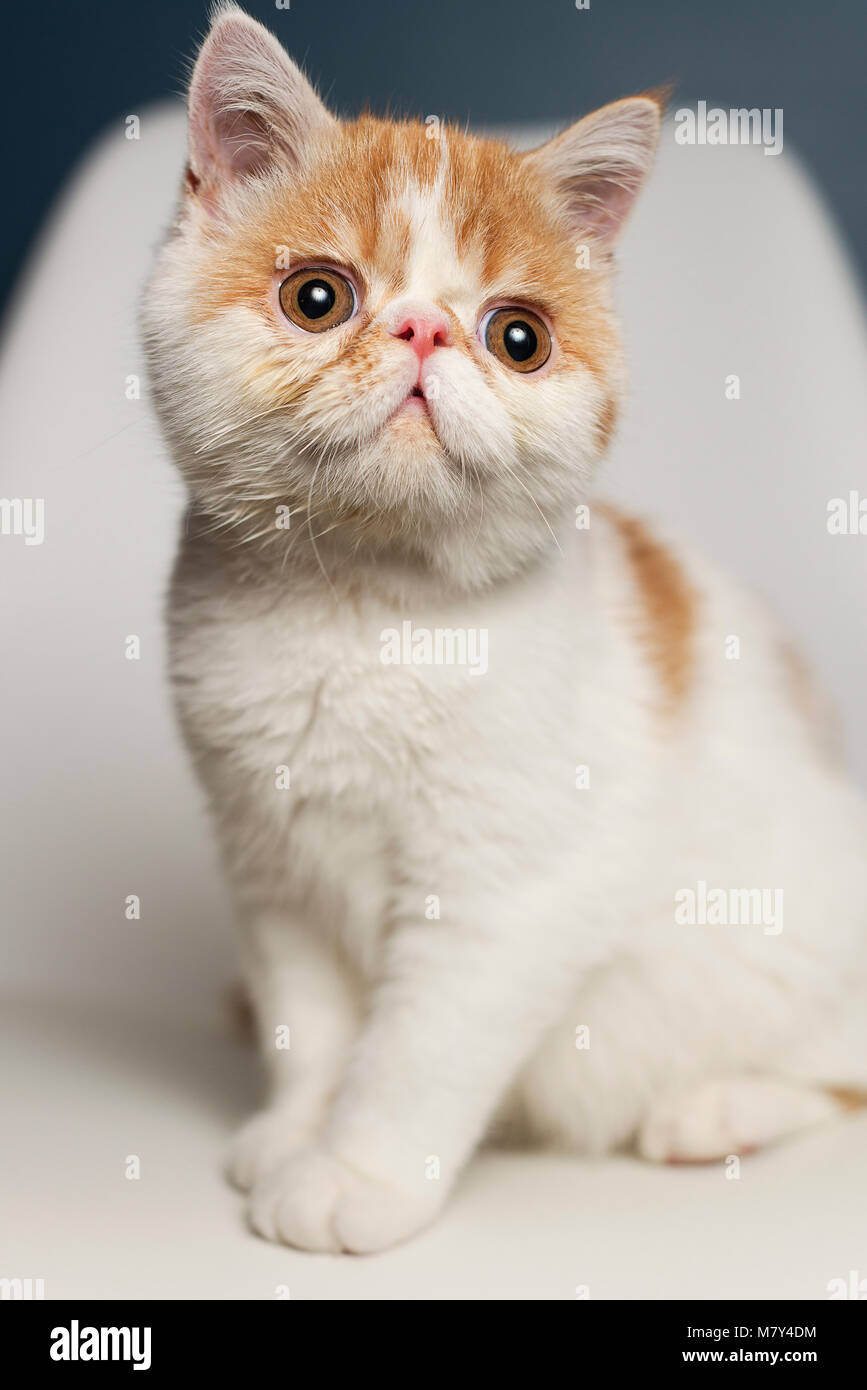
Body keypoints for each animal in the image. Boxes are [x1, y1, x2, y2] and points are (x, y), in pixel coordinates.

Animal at [142, 2, 867, 1262]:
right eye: (318, 297)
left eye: (517, 336)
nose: (425, 331)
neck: (363, 611)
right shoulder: (271, 865)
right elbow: (309, 1023)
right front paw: (294, 1131)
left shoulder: (509, 889)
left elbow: (416, 1049)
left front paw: (356, 1176)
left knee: (840, 1071)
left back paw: (717, 1108)